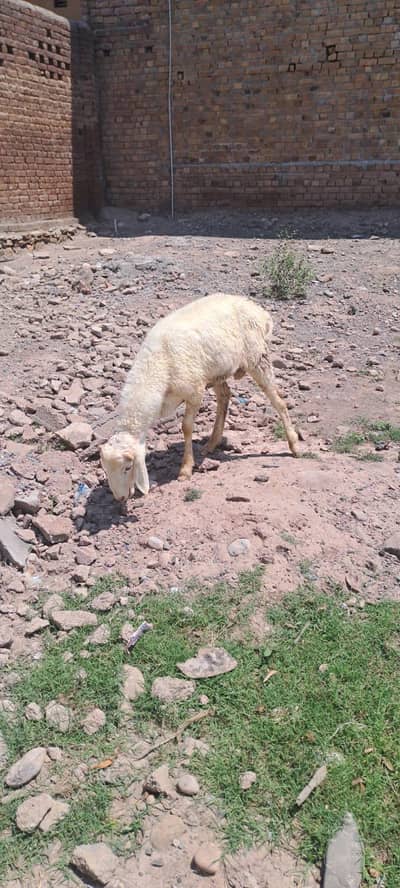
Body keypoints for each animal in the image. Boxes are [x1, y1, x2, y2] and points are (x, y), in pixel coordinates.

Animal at [100, 293, 299, 502]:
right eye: (106, 470)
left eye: (128, 467)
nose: (120, 498)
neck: (157, 365)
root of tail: (257, 309)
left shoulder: (195, 391)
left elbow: (186, 427)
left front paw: (186, 469)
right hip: (217, 370)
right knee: (225, 396)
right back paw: (211, 443)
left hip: (257, 358)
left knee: (278, 401)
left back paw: (294, 445)